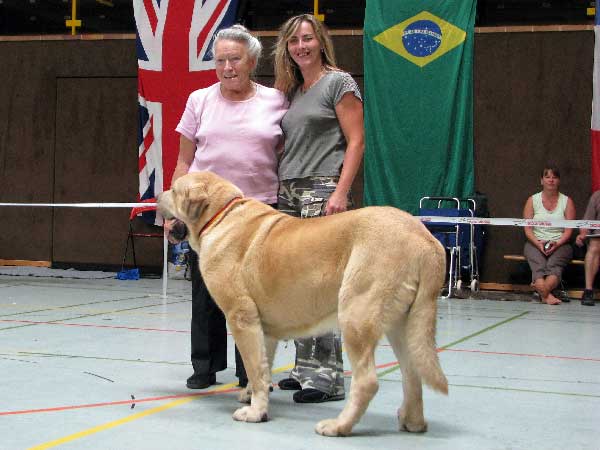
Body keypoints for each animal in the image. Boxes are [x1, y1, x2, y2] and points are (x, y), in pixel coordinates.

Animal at [157, 171, 448, 436]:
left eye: (174, 190)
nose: (158, 197)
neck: (220, 216)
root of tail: (425, 238)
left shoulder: (241, 318)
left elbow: (254, 368)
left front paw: (255, 412)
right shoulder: (264, 330)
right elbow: (262, 368)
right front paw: (252, 397)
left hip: (355, 315)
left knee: (367, 382)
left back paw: (338, 426)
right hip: (402, 324)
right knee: (413, 373)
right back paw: (412, 421)